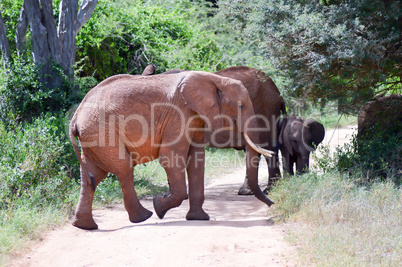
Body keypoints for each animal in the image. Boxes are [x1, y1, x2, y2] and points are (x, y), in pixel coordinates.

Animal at [70, 71, 274, 230]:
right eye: (240, 106)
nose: (272, 204)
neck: (214, 78)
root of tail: (75, 117)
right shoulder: (179, 114)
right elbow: (170, 157)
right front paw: (159, 207)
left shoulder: (195, 116)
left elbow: (197, 159)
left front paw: (198, 218)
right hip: (102, 133)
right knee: (123, 169)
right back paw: (144, 216)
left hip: (92, 136)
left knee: (92, 176)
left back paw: (84, 226)